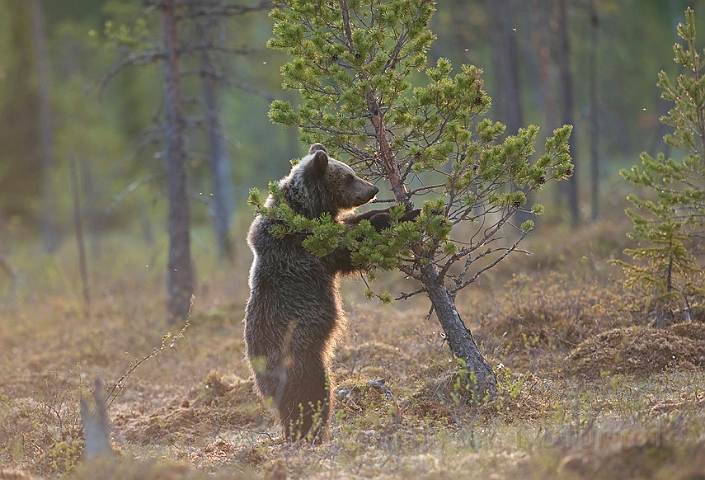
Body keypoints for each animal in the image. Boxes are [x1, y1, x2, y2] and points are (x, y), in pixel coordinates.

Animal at [245, 144, 416, 440]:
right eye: (349, 176)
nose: (373, 189)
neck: (306, 209)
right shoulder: (306, 244)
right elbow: (349, 246)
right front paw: (392, 217)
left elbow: (354, 224)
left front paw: (402, 208)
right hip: (299, 355)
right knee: (309, 394)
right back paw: (309, 432)